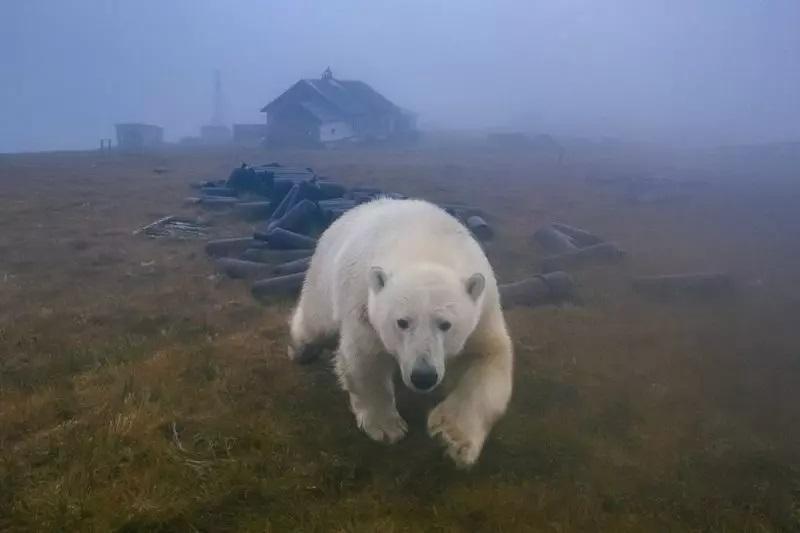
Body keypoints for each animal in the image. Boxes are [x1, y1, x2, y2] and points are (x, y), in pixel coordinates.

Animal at [288, 198, 513, 468]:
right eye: (402, 322)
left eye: (445, 324)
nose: (423, 376)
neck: (426, 248)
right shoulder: (363, 301)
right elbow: (366, 359)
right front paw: (387, 428)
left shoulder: (483, 310)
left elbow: (489, 358)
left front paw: (454, 438)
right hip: (324, 272)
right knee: (316, 321)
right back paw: (301, 349)